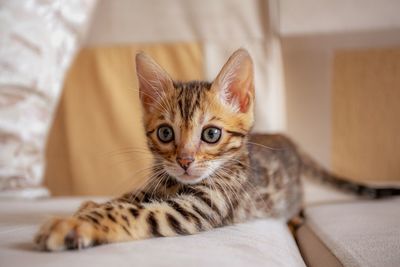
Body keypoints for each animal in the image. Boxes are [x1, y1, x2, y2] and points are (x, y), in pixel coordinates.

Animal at [34, 49, 400, 252]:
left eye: (211, 134)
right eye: (165, 133)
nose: (184, 161)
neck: (179, 184)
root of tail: (289, 141)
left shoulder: (199, 207)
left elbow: (137, 212)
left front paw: (72, 226)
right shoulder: (159, 182)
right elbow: (130, 197)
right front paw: (92, 206)